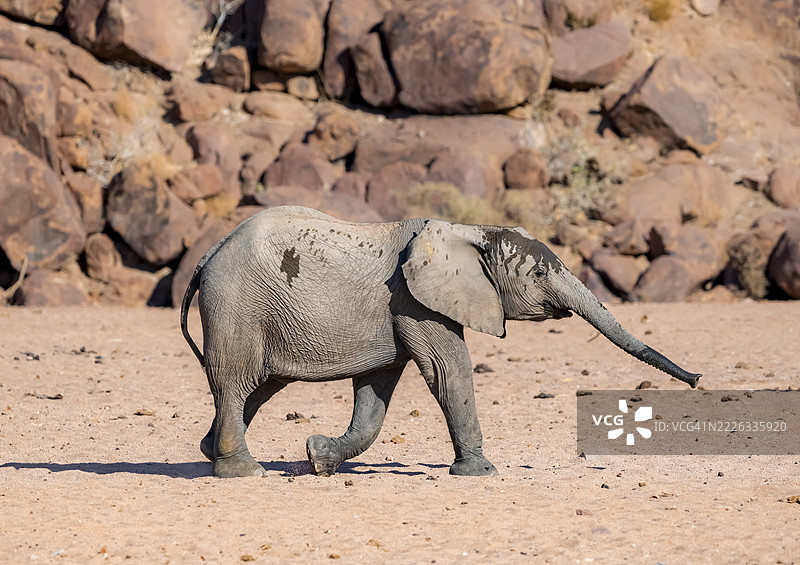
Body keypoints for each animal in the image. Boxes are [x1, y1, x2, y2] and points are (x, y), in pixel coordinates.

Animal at [181, 205, 700, 478]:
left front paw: (318, 457)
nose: (696, 379)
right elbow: (449, 371)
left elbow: (374, 395)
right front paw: (481, 474)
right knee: (235, 383)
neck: (469, 229)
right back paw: (243, 471)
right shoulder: (415, 301)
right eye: (538, 274)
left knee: (256, 388)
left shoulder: (396, 311)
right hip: (237, 304)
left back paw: (212, 453)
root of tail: (209, 253)